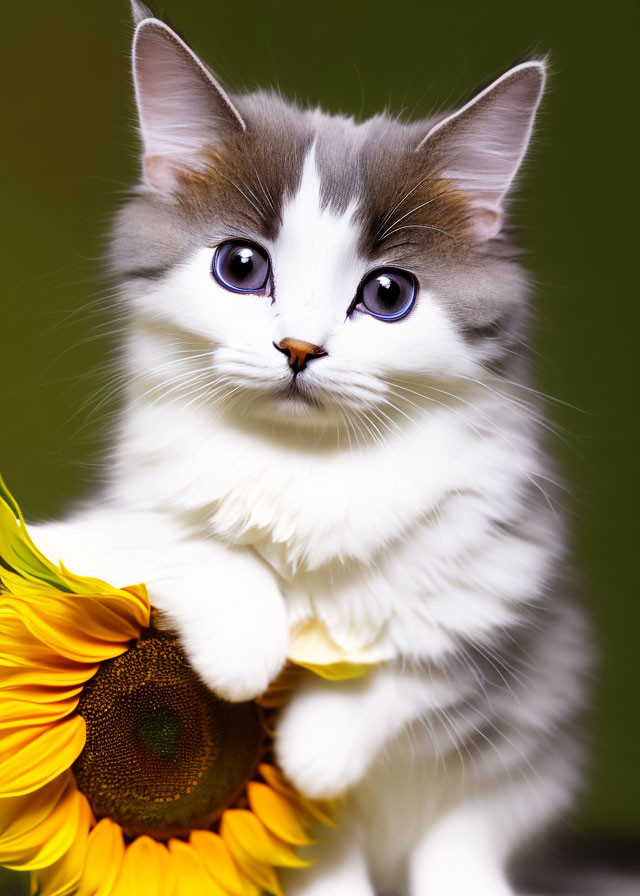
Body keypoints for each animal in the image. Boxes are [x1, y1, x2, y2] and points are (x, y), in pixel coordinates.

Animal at [31, 1, 600, 896]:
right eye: (239, 266)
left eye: (389, 294)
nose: (299, 348)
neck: (306, 467)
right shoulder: (115, 514)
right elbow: (200, 549)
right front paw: (245, 656)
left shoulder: (509, 570)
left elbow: (419, 651)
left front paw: (315, 746)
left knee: (464, 843)